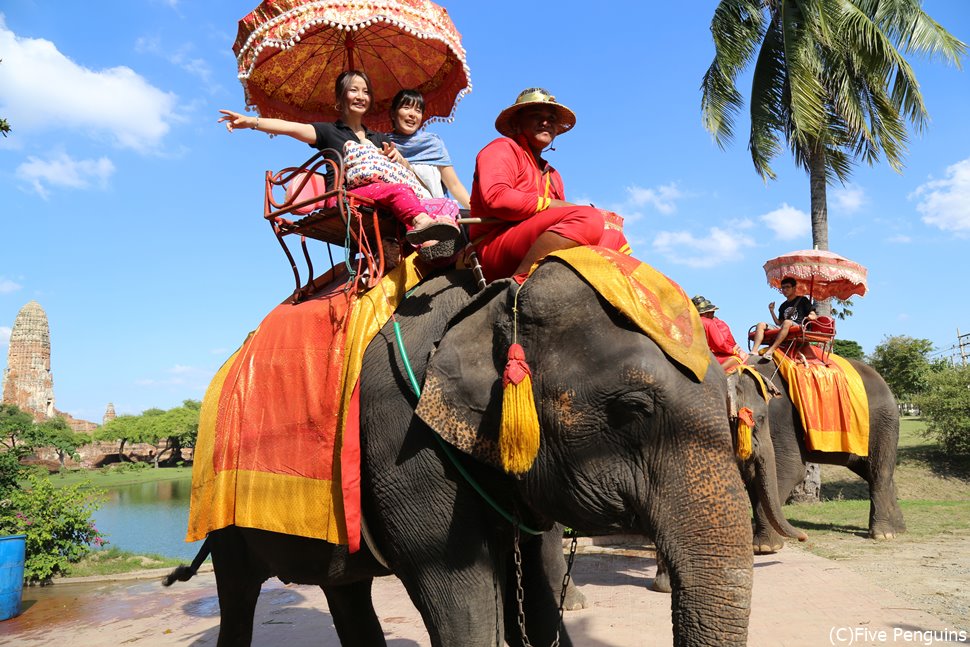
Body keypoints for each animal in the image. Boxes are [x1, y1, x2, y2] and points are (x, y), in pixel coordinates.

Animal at [168, 260, 764, 647]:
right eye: (633, 407)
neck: (489, 301)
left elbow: (539, 595)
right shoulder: (404, 444)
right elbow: (463, 605)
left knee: (346, 591)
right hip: (220, 507)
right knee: (238, 594)